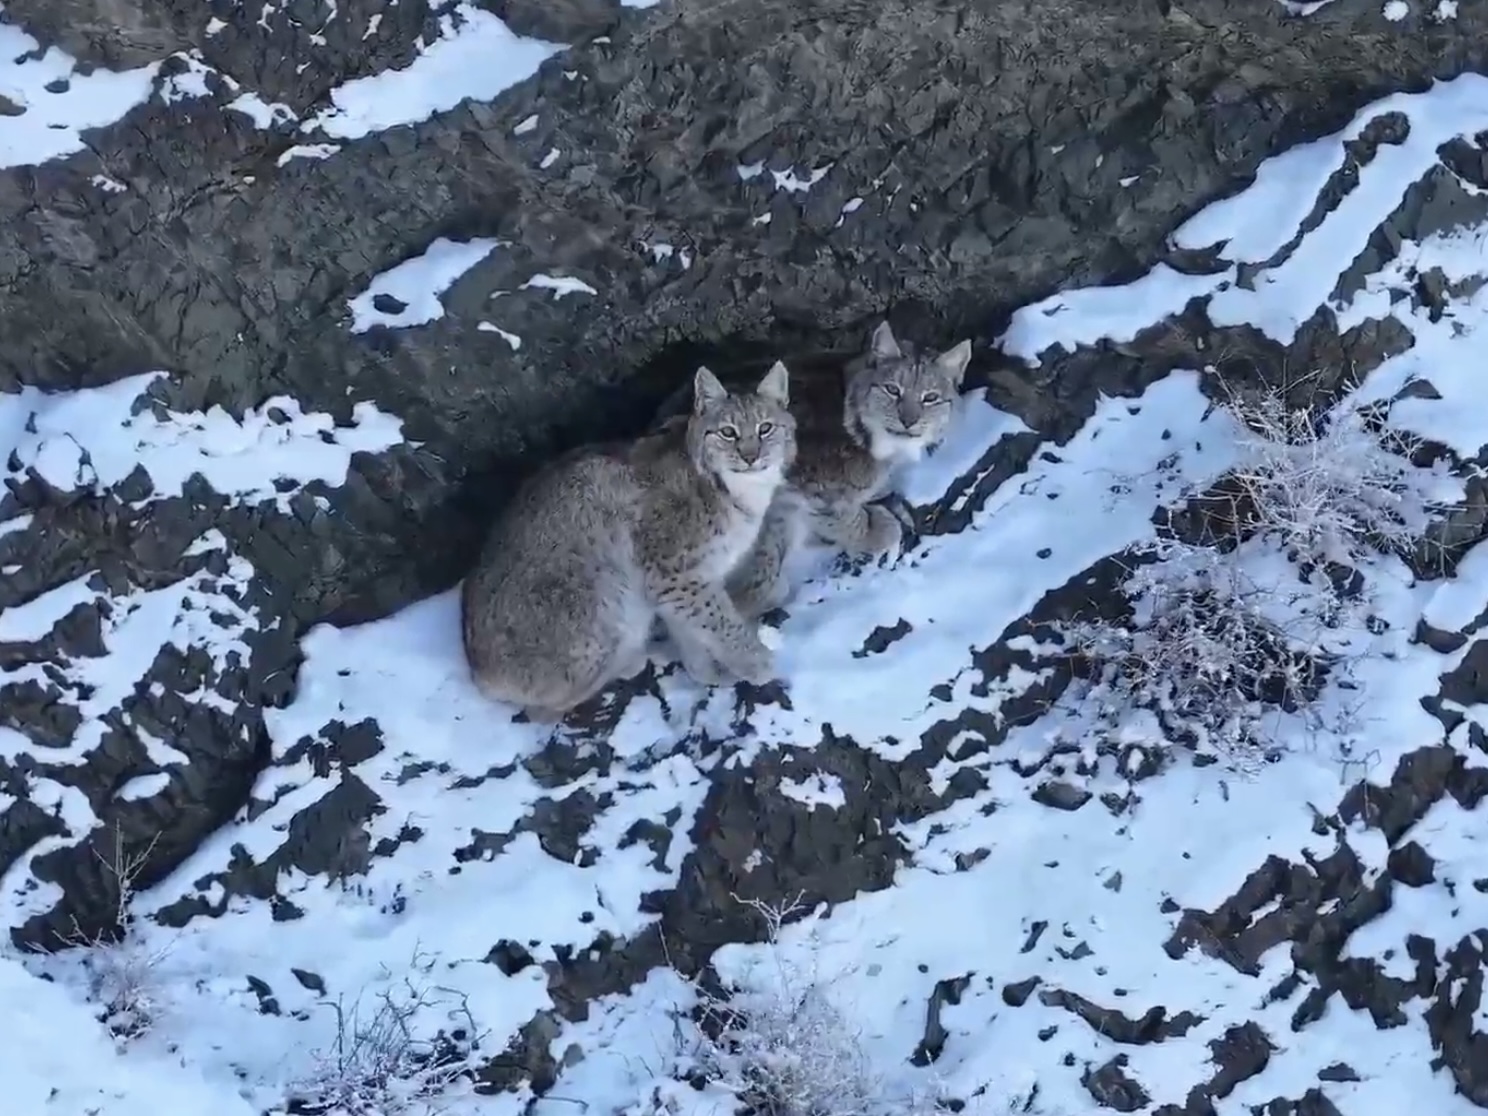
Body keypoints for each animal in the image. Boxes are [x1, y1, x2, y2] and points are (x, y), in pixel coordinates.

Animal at [461, 363, 797, 722]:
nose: (750, 457)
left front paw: (706, 672)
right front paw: (755, 663)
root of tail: (476, 670)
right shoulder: (673, 572)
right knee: (541, 711)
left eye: (765, 429)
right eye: (728, 433)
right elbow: (720, 621)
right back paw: (627, 662)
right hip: (603, 594)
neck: (733, 488)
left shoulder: (681, 581)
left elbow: (692, 626)